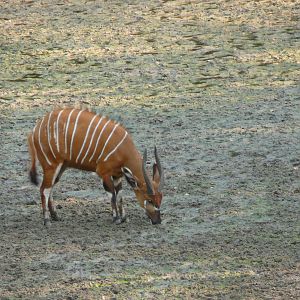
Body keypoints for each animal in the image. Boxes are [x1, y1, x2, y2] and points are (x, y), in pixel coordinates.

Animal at [27, 108, 164, 225]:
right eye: (149, 200)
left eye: (160, 199)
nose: (157, 221)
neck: (123, 148)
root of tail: (35, 129)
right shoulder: (103, 172)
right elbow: (112, 195)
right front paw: (116, 218)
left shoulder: (117, 175)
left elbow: (119, 195)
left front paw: (124, 217)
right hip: (51, 165)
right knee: (44, 189)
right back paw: (46, 220)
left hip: (61, 167)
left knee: (50, 187)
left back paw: (55, 216)